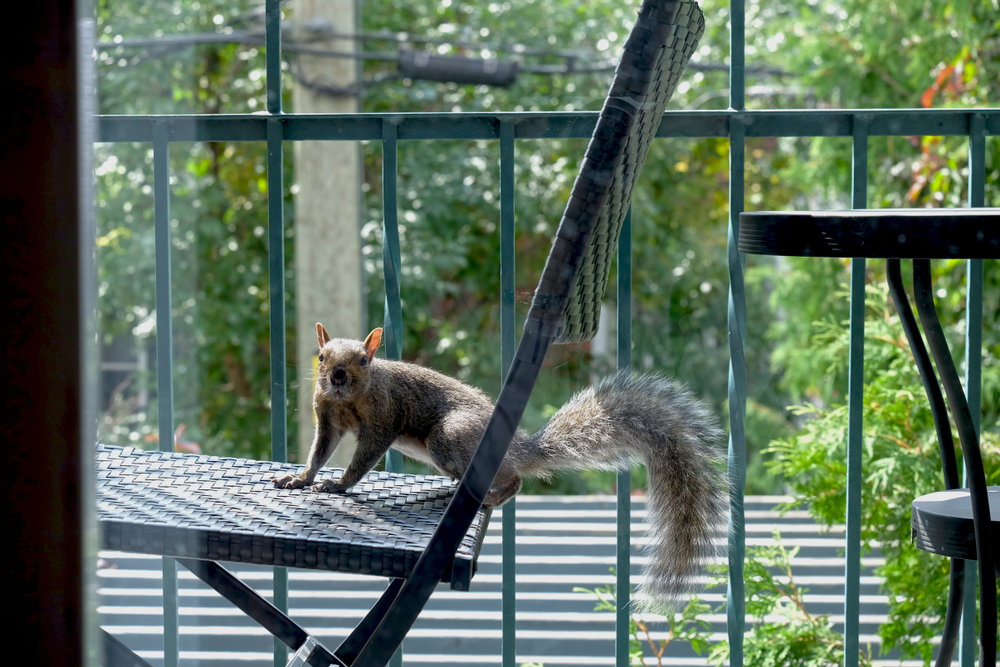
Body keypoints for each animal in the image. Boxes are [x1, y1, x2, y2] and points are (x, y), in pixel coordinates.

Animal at [274, 322, 728, 612]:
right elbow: (319, 451)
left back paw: (492, 495)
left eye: (364, 361)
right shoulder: (327, 418)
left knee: (514, 479)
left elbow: (364, 456)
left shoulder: (384, 419)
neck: (350, 400)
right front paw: (300, 478)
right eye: (320, 356)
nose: (336, 376)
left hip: (450, 437)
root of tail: (518, 447)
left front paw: (338, 485)